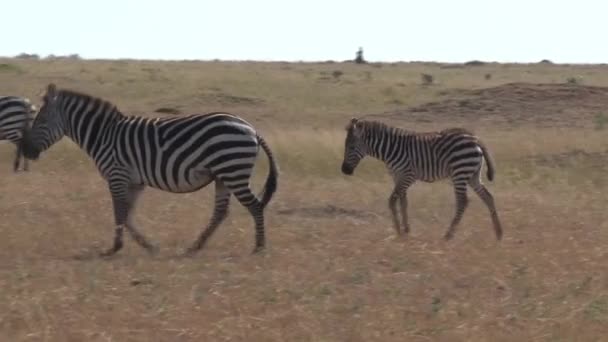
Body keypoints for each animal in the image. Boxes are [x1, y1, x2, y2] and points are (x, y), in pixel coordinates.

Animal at [22, 83, 280, 256]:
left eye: (41, 120)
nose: (26, 150)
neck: (103, 135)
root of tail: (251, 128)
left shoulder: (117, 175)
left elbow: (120, 213)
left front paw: (114, 248)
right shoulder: (135, 181)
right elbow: (127, 214)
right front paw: (148, 245)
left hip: (233, 170)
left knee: (255, 205)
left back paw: (259, 247)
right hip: (223, 176)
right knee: (221, 212)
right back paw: (195, 246)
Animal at [342, 117, 504, 240]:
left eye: (351, 147)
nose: (344, 170)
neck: (391, 149)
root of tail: (475, 139)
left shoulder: (408, 176)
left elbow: (392, 201)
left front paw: (398, 231)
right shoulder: (398, 177)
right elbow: (403, 202)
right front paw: (406, 230)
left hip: (460, 172)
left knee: (463, 202)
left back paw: (448, 235)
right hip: (473, 175)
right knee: (488, 197)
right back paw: (498, 234)